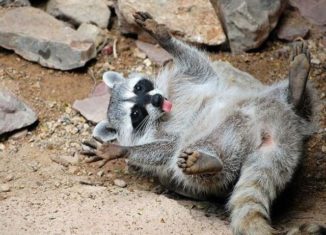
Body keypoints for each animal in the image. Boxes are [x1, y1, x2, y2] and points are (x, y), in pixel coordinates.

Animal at [83, 12, 324, 235]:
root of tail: (273, 135)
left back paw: (296, 88)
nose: (157, 99)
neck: (163, 112)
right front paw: (121, 149)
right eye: (136, 113)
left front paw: (161, 35)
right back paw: (208, 162)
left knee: (295, 103)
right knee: (196, 164)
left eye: (140, 87)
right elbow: (169, 147)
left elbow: (198, 67)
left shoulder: (183, 81)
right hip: (224, 147)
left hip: (268, 100)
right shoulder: (155, 133)